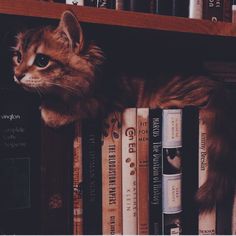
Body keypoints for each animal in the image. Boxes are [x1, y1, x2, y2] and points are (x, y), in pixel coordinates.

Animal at [12, 10, 235, 211]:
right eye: (18, 57)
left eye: (41, 61)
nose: (17, 74)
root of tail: (219, 87)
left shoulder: (110, 100)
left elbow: (81, 105)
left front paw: (52, 111)